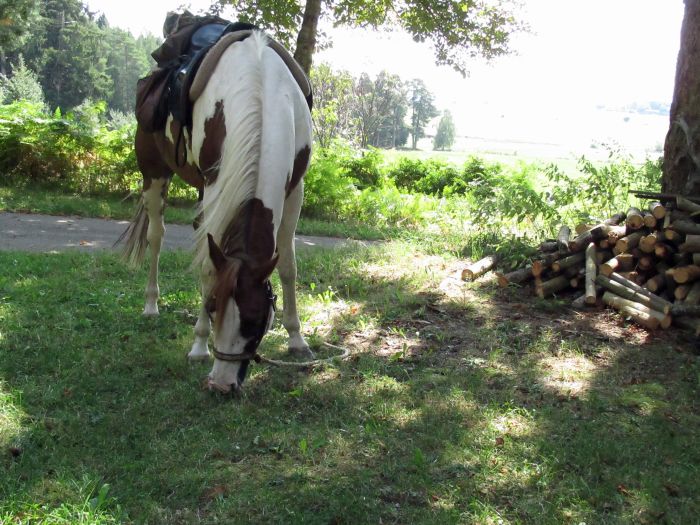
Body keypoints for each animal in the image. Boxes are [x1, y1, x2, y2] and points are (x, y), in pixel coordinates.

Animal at [119, 27, 312, 388]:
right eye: (212, 307)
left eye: (256, 322)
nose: (222, 385)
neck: (262, 91)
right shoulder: (215, 188)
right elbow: (210, 268)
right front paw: (198, 345)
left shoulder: (294, 192)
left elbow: (288, 266)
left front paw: (297, 339)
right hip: (154, 174)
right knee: (156, 236)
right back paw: (151, 304)